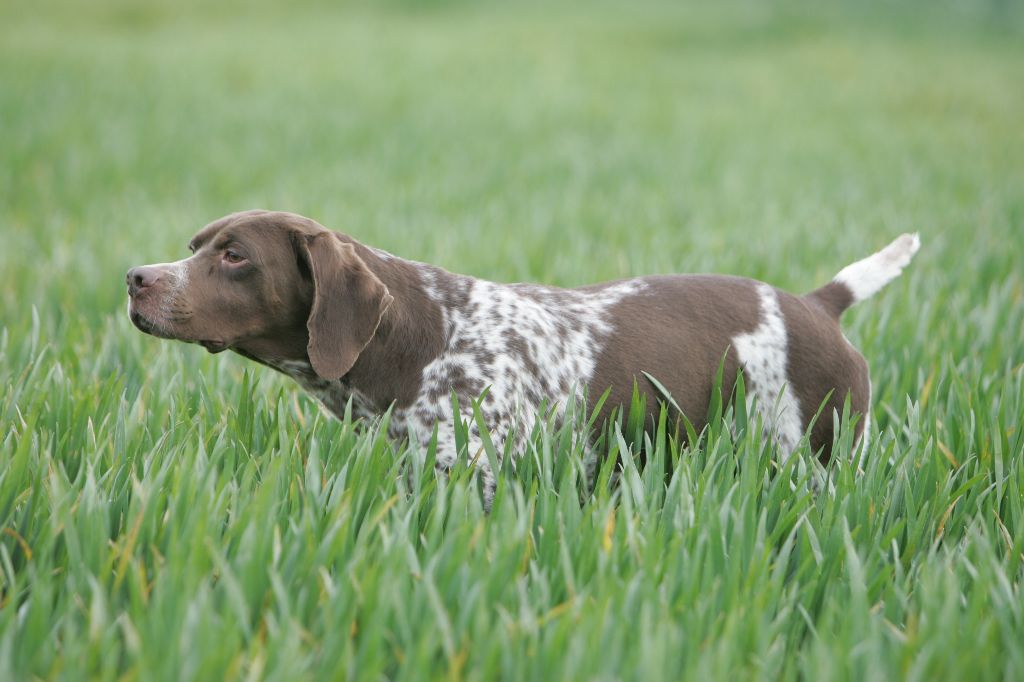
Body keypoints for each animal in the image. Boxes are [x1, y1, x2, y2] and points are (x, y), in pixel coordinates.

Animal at [128, 208, 921, 499]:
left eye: (234, 255)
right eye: (195, 245)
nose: (136, 278)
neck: (423, 337)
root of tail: (816, 303)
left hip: (818, 459)